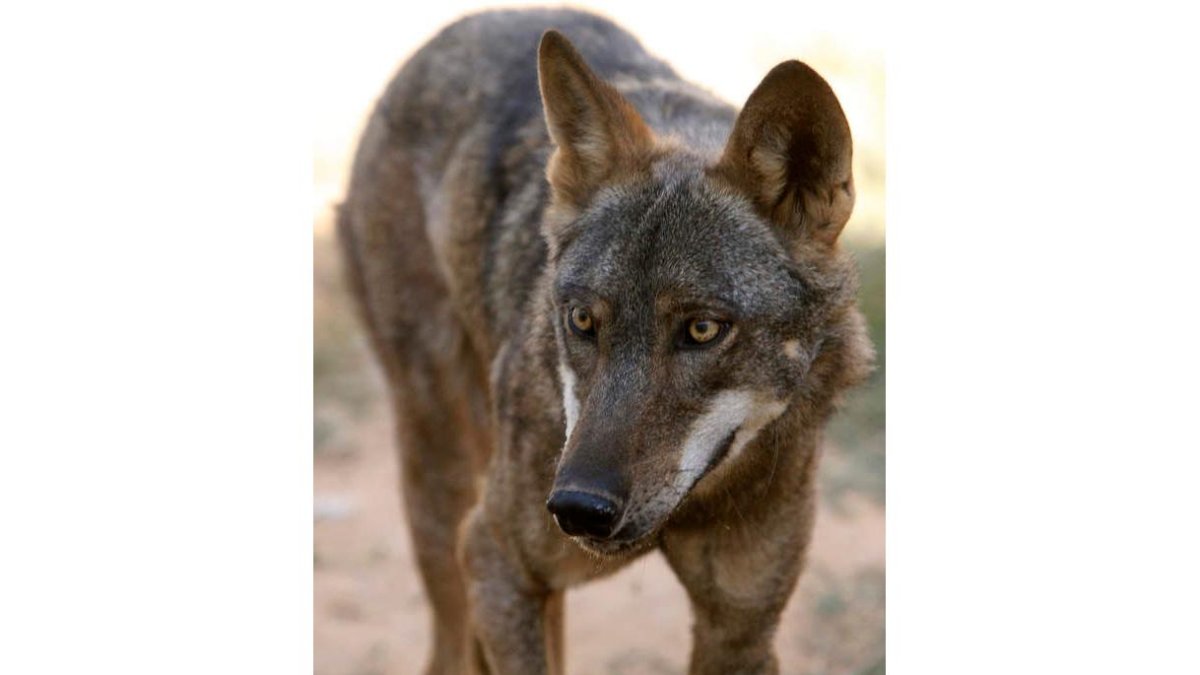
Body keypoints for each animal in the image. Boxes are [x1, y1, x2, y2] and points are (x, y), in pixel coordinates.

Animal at [338, 8, 872, 674]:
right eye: (583, 321)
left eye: (702, 329)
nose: (577, 507)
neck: (690, 509)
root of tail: (468, 22)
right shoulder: (495, 558)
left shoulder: (741, 628)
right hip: (445, 492)